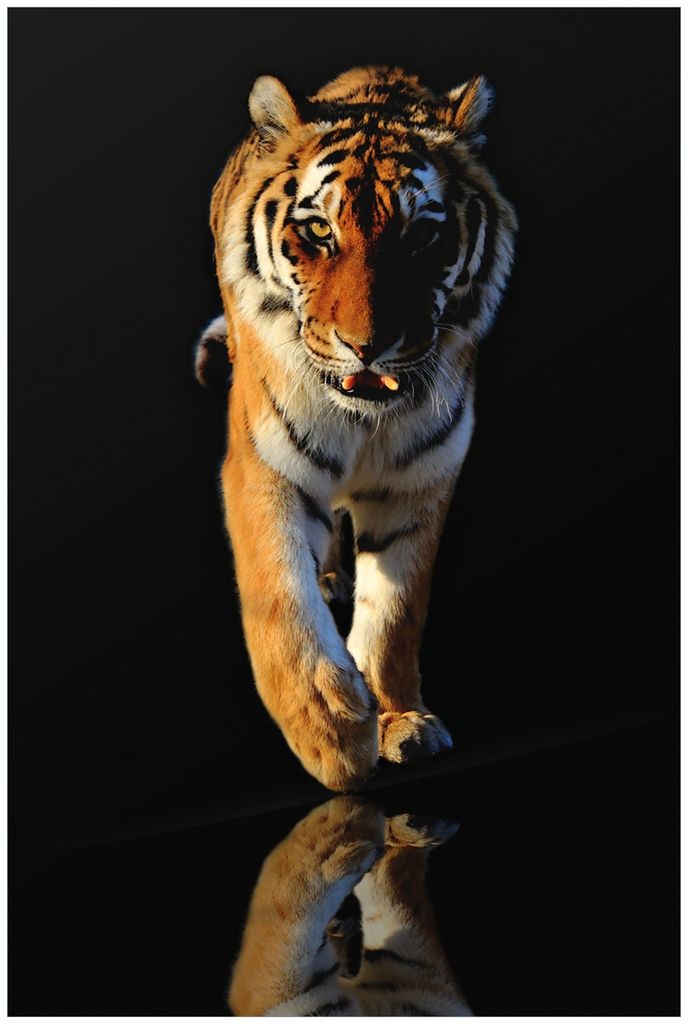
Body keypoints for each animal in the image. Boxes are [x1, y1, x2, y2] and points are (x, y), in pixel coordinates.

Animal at [199, 65, 517, 792]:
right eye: (319, 232)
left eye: (420, 235)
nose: (366, 346)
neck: (366, 420)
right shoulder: (265, 464)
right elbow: (278, 597)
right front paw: (331, 732)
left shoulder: (421, 476)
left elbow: (397, 610)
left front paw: (400, 720)